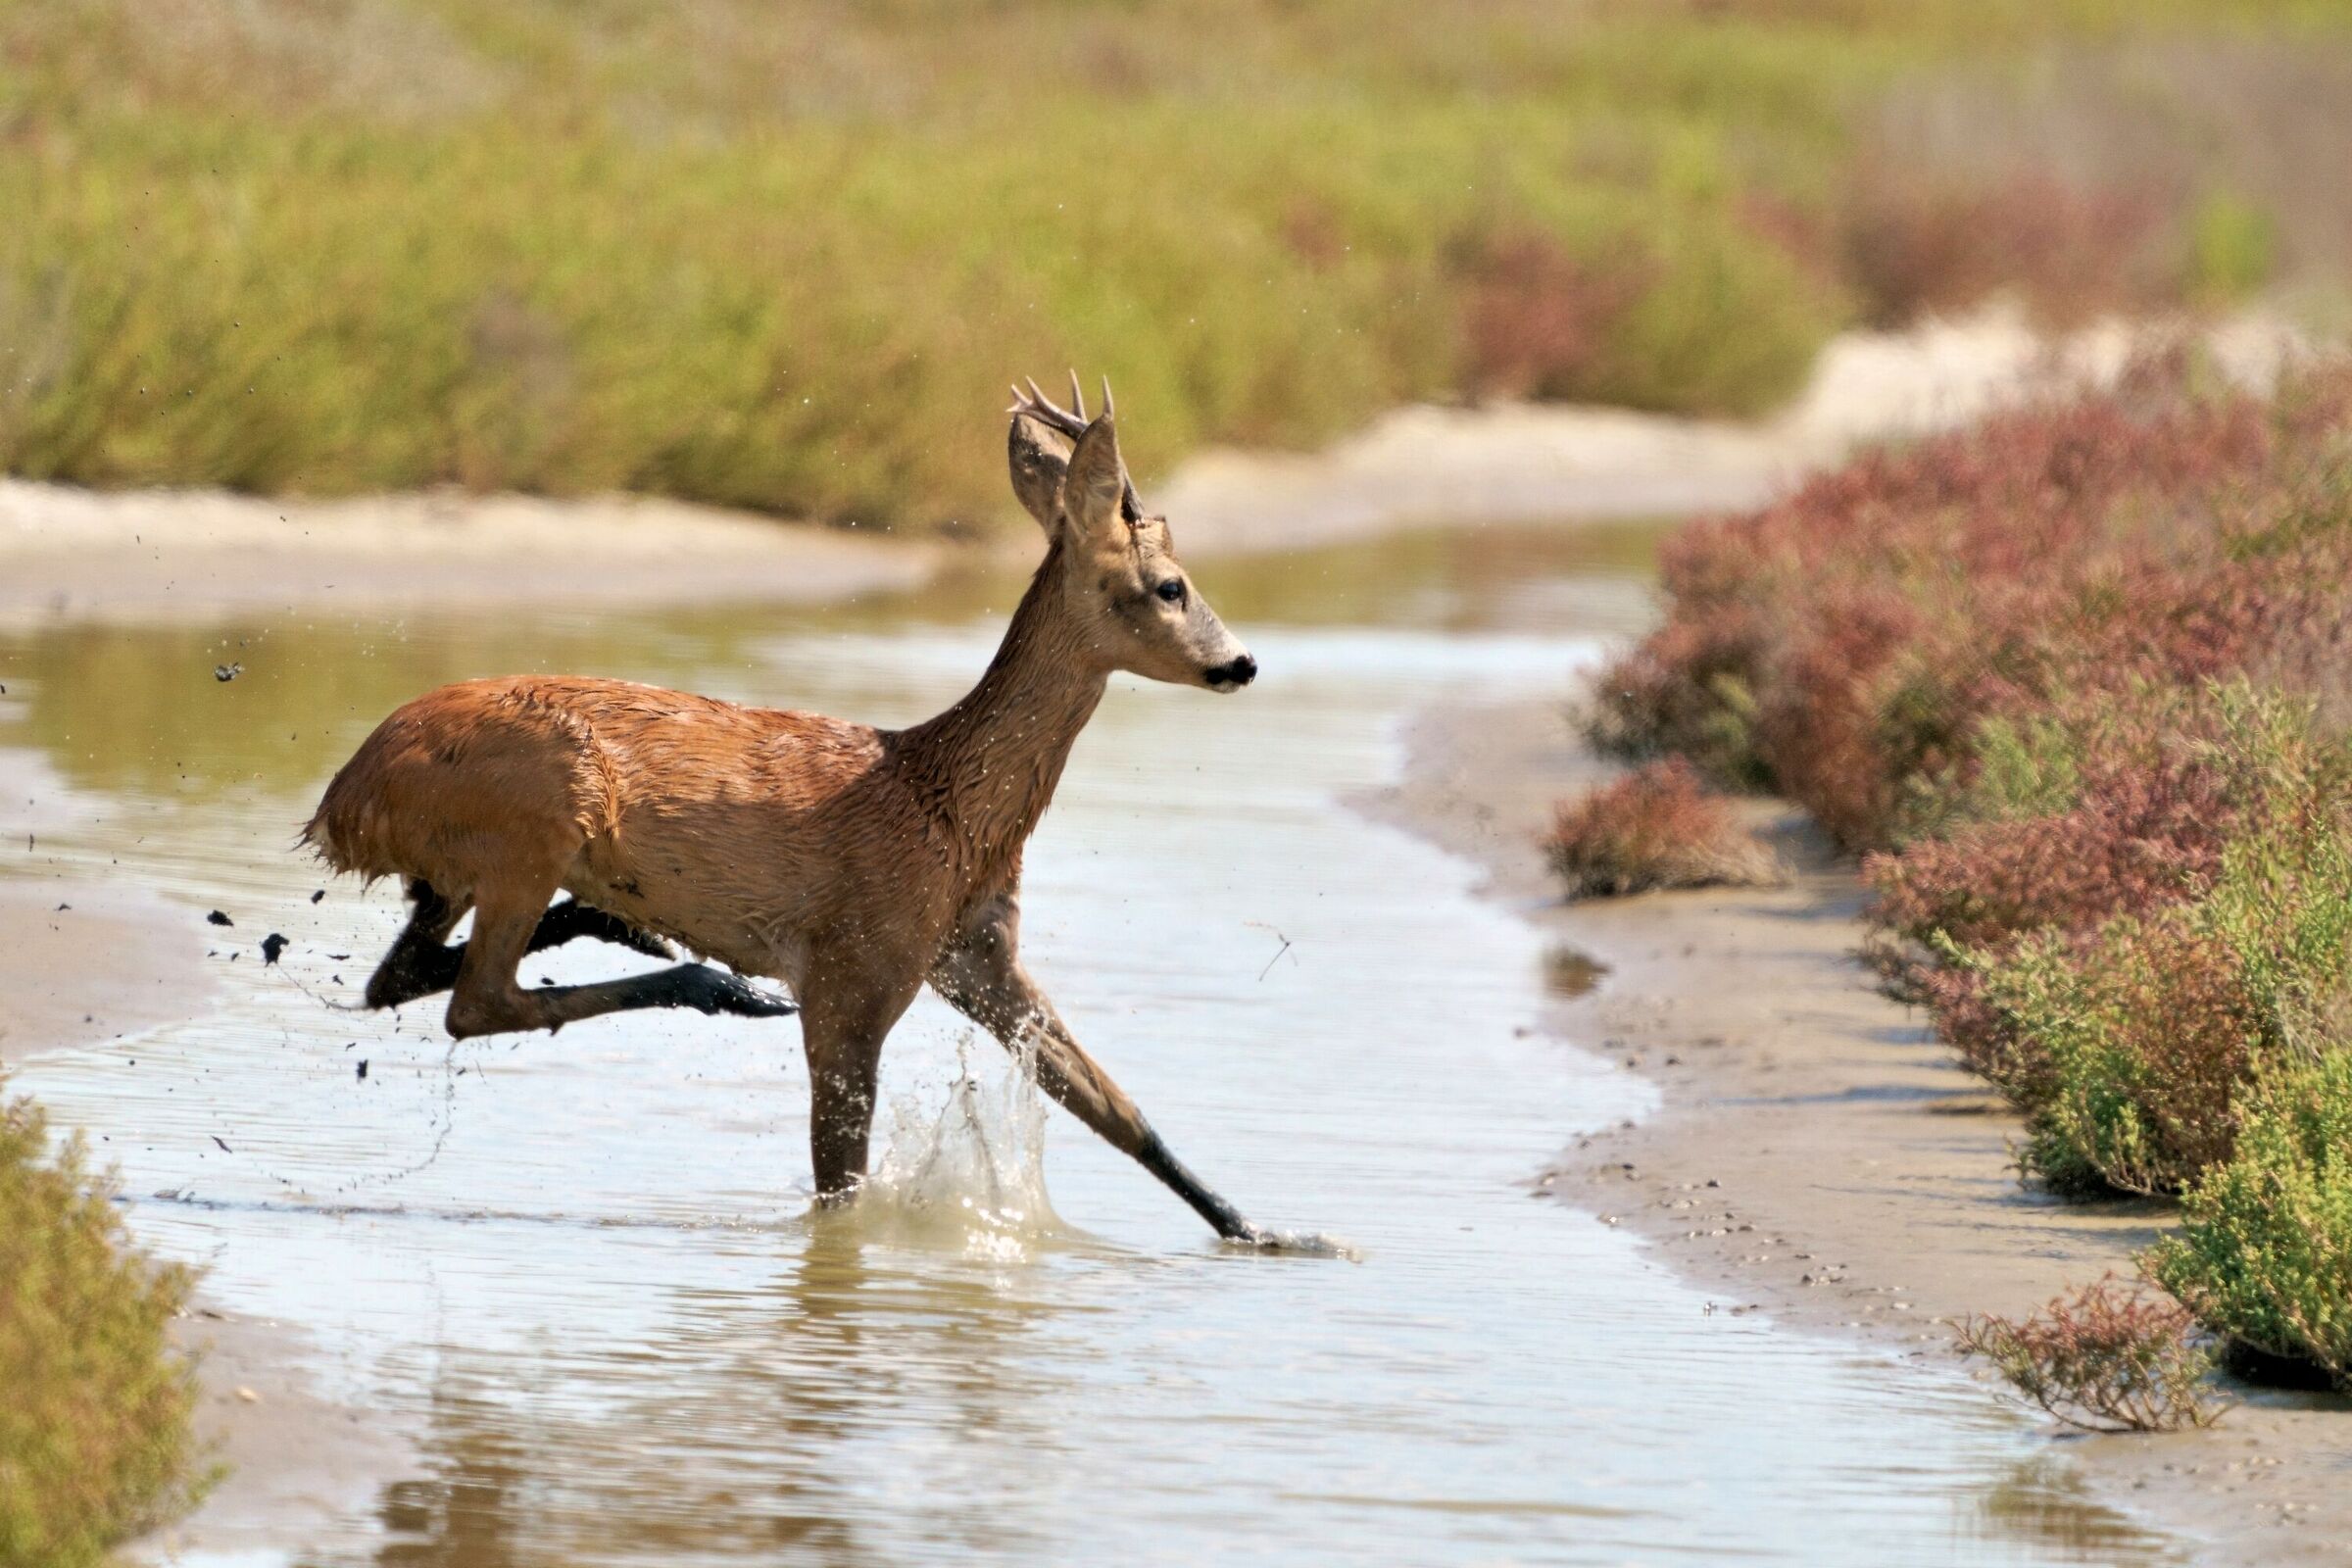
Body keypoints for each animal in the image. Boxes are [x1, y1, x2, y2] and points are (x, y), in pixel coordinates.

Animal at [305, 376, 1327, 1250]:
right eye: (1170, 585)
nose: (1240, 663)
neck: (945, 803)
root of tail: (341, 800)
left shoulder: (976, 954)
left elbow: (1115, 1107)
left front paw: (1278, 1233)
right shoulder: (854, 973)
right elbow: (841, 1184)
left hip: (464, 868)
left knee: (397, 977)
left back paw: (621, 928)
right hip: (537, 824)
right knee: (475, 1000)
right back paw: (712, 983)